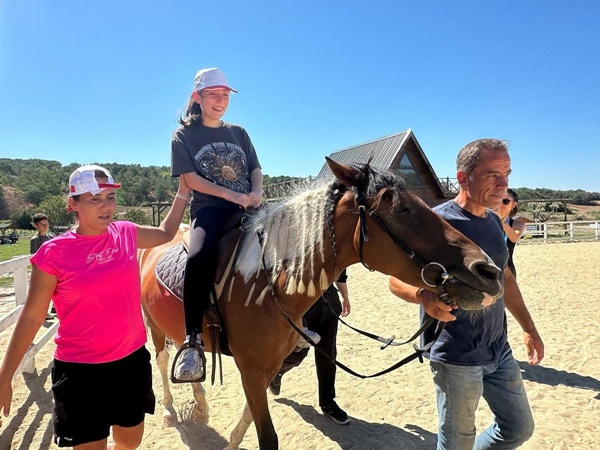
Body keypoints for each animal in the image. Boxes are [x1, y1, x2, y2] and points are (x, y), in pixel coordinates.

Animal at [139, 158, 502, 450]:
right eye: (401, 209)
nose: (489, 272)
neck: (267, 282)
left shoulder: (265, 366)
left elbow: (247, 420)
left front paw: (231, 442)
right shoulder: (251, 368)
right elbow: (266, 436)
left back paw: (199, 405)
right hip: (154, 326)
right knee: (162, 360)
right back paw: (170, 410)